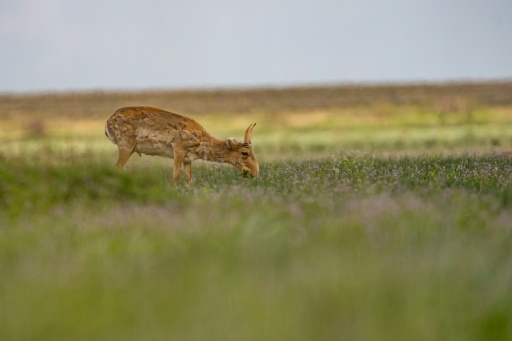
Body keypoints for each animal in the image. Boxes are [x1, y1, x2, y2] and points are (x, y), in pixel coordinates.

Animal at [104, 107, 258, 185]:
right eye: (244, 152)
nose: (255, 172)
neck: (201, 138)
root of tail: (109, 120)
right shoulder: (178, 150)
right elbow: (176, 175)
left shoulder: (187, 159)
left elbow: (188, 178)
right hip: (126, 147)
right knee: (116, 168)